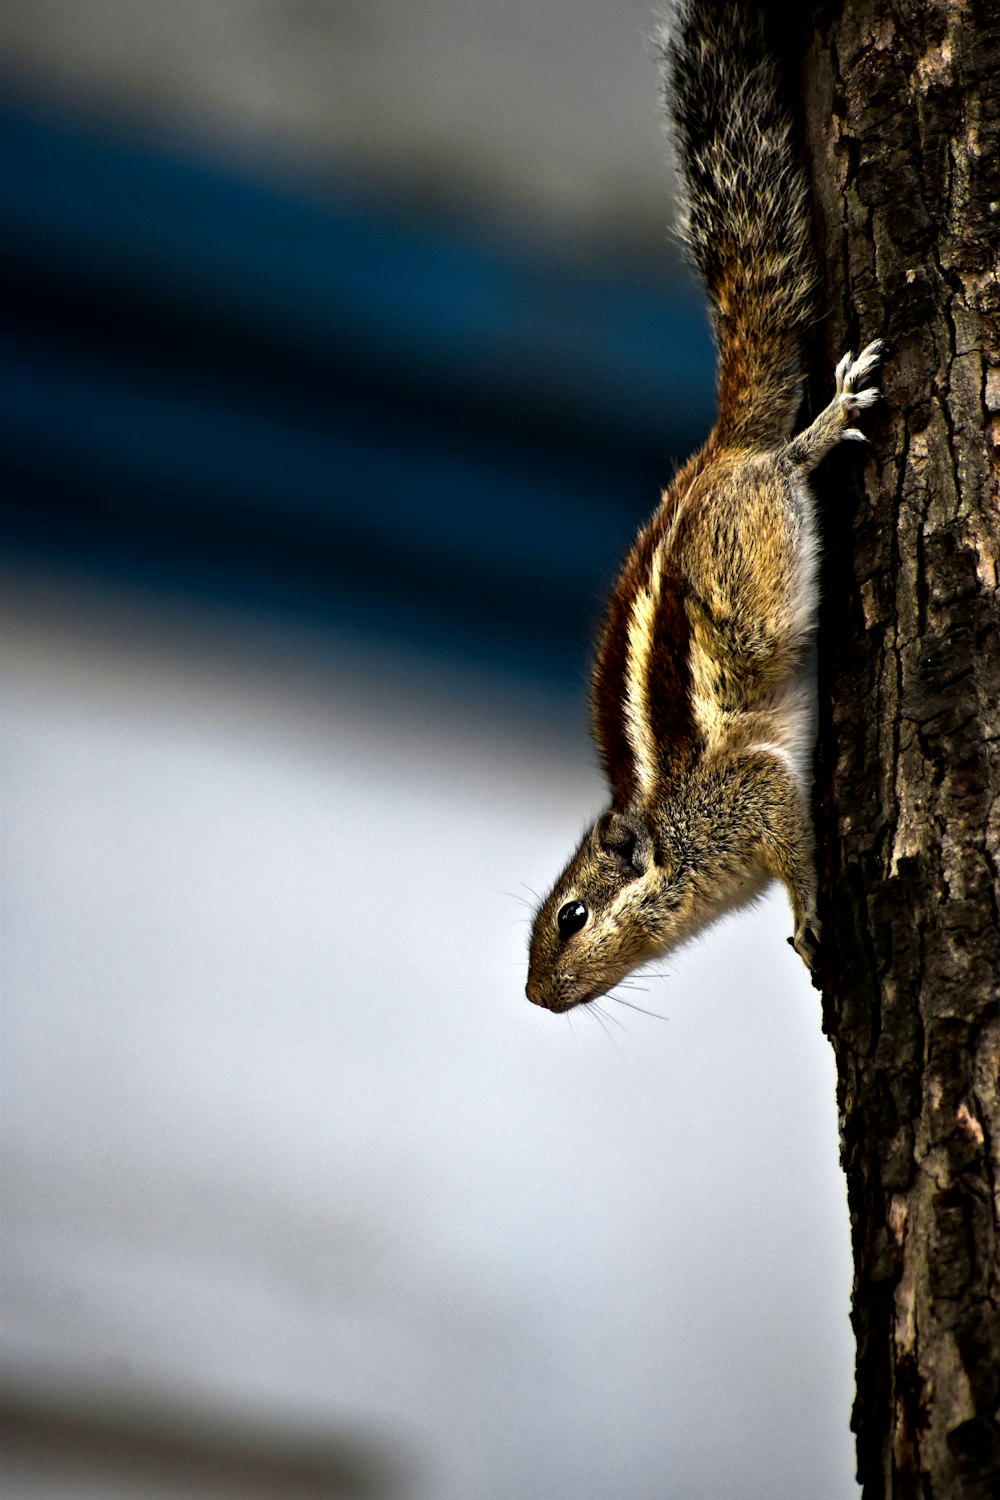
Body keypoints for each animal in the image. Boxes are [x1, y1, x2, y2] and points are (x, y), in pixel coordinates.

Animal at [527, 0, 881, 1014]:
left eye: (572, 917)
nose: (536, 995)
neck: (666, 831)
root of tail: (717, 447)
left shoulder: (745, 797)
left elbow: (790, 837)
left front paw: (810, 917)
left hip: (755, 536)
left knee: (785, 464)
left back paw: (822, 425)